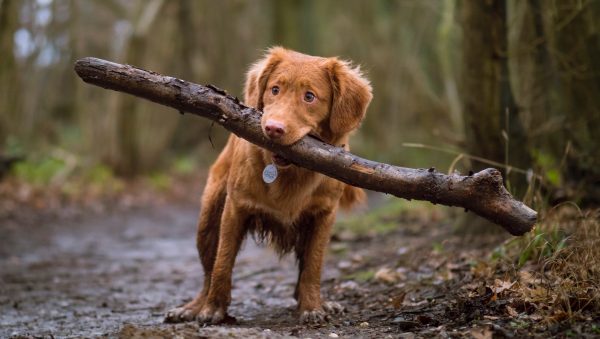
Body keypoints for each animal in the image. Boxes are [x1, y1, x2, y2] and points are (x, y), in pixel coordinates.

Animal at [164, 46, 370, 326]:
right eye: (275, 89)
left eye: (309, 96)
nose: (273, 128)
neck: (289, 173)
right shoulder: (235, 208)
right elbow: (222, 263)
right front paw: (213, 309)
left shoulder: (324, 215)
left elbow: (313, 266)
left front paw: (312, 307)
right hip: (208, 218)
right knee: (208, 271)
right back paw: (194, 307)